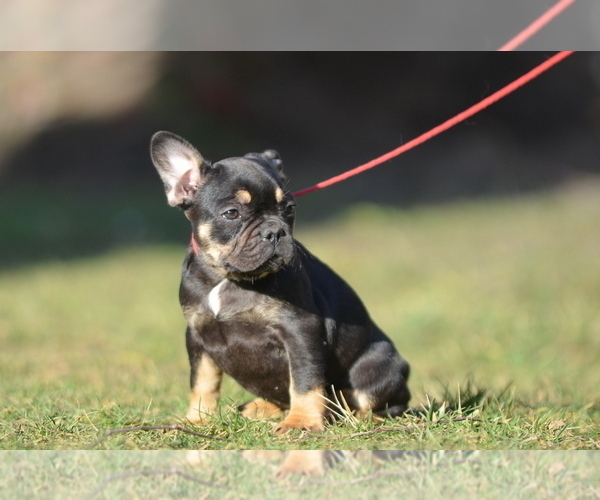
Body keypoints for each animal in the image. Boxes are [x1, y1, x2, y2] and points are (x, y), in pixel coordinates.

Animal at [151, 133, 412, 434]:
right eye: (231, 213)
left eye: (289, 209)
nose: (274, 231)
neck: (228, 278)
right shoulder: (197, 334)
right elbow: (202, 381)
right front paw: (198, 418)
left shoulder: (299, 331)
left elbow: (304, 380)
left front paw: (302, 422)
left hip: (376, 367)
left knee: (380, 403)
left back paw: (354, 418)